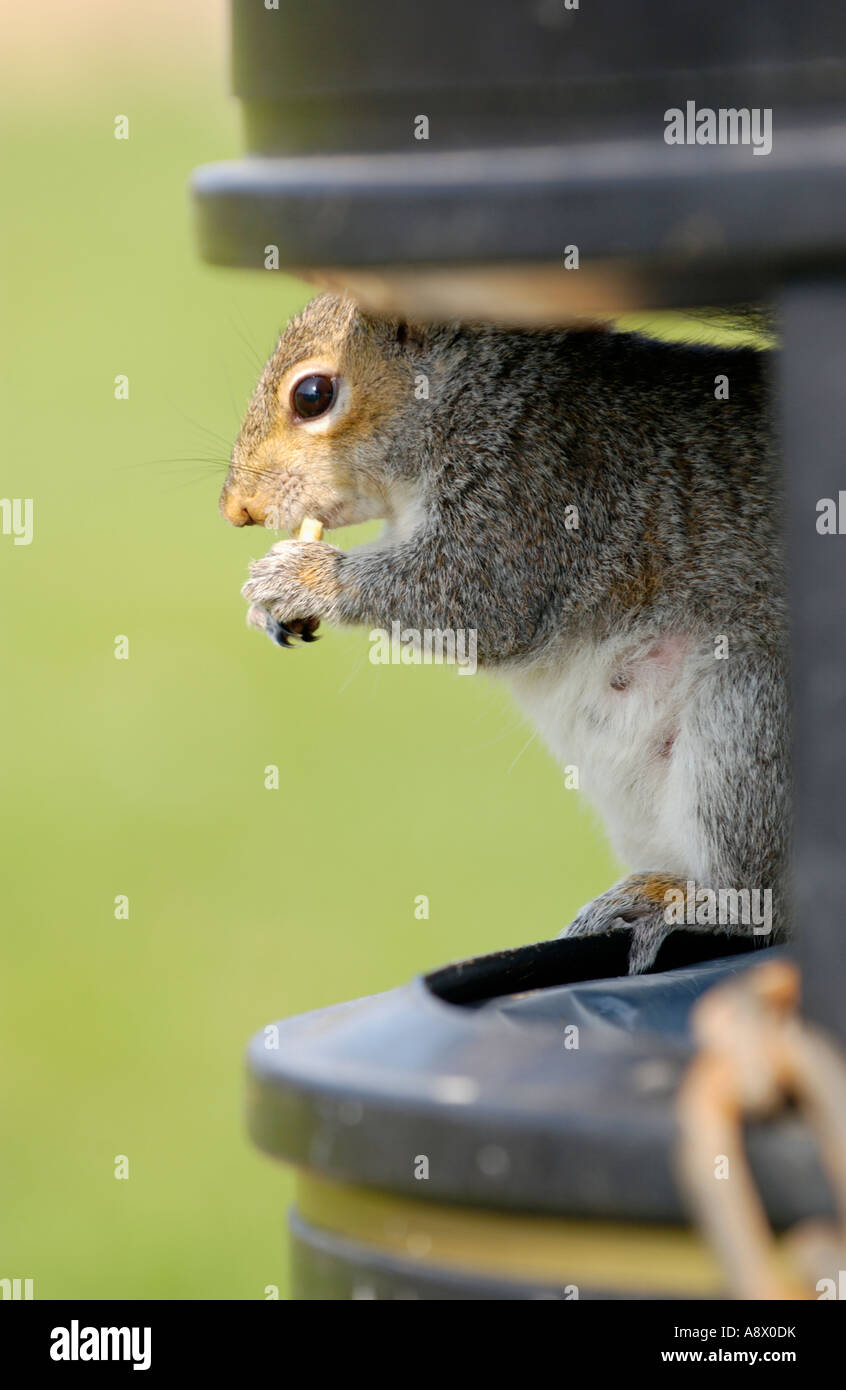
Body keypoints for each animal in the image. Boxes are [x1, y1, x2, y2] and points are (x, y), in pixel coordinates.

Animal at [218, 293, 783, 967]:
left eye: (312, 395)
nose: (237, 509)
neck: (479, 396)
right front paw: (268, 609)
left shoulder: (542, 496)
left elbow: (478, 603)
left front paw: (299, 577)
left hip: (748, 718)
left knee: (763, 896)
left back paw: (688, 903)